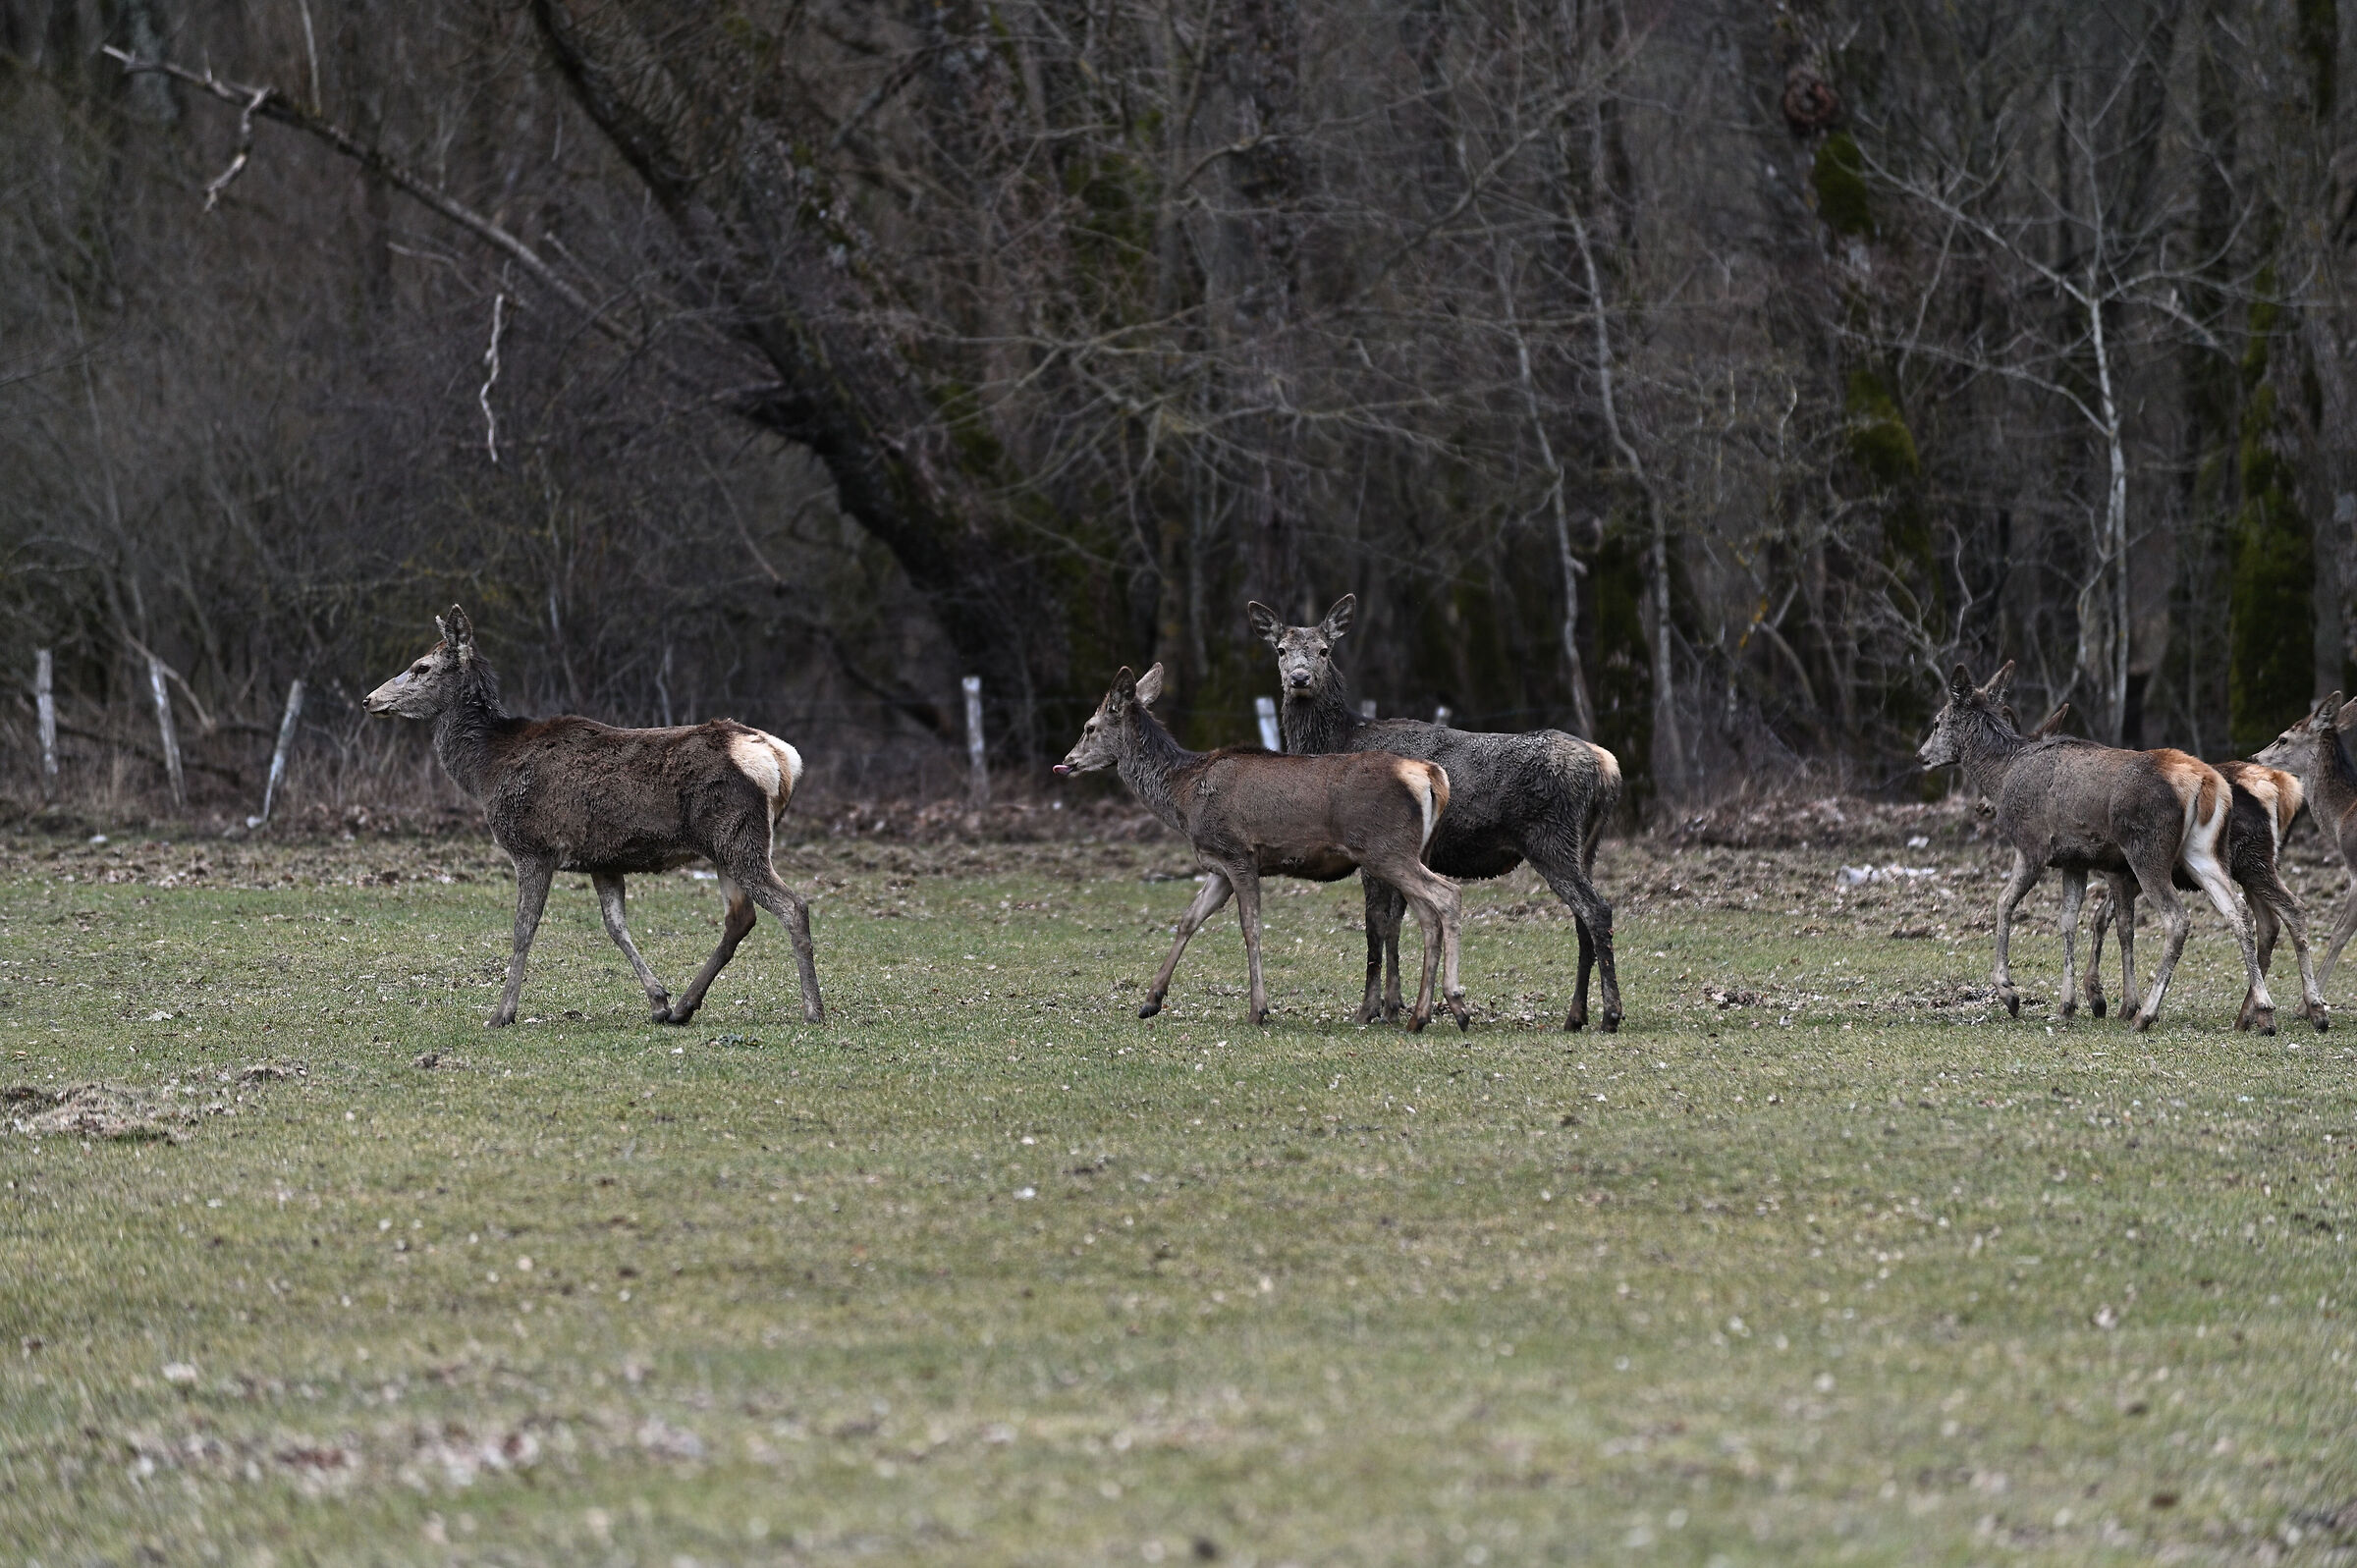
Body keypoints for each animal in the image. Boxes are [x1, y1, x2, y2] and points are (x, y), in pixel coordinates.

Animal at [365, 606, 824, 1028]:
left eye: (421, 667)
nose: (370, 699)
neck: (486, 770)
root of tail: (783, 759)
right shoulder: (602, 859)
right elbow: (615, 926)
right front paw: (658, 1000)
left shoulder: (532, 848)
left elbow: (523, 929)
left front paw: (502, 1013)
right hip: (725, 846)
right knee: (739, 918)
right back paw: (684, 1006)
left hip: (737, 836)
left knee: (793, 905)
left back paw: (812, 1010)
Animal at [1052, 662, 1469, 1030]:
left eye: (1089, 727)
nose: (1067, 761)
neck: (1183, 796)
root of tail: (1431, 774)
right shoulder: (1218, 866)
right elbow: (1188, 919)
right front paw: (1150, 1000)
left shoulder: (1238, 853)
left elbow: (1251, 928)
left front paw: (1258, 1010)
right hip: (1405, 852)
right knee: (1426, 916)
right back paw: (1419, 1016)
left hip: (1386, 848)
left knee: (1447, 895)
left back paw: (1456, 1005)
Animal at [1250, 596, 1622, 1030]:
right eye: (1281, 650)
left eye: (1325, 650)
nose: (1300, 677)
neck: (1338, 741)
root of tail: (1606, 767)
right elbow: (1395, 924)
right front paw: (1394, 1005)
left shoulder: (1370, 845)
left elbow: (1376, 926)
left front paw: (1369, 1008)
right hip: (1585, 845)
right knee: (1583, 918)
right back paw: (1576, 1016)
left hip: (1549, 836)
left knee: (1596, 909)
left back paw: (1610, 1014)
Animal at [1917, 661, 2273, 1032]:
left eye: (1937, 721)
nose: (1921, 756)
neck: (2001, 776)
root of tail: (2206, 782)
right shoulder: (2074, 861)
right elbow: (2068, 921)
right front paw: (2067, 1004)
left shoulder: (2032, 846)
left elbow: (2004, 903)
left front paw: (2009, 992)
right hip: (2202, 852)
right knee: (2237, 909)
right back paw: (2263, 1009)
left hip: (2147, 849)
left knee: (2177, 918)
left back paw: (2146, 1014)